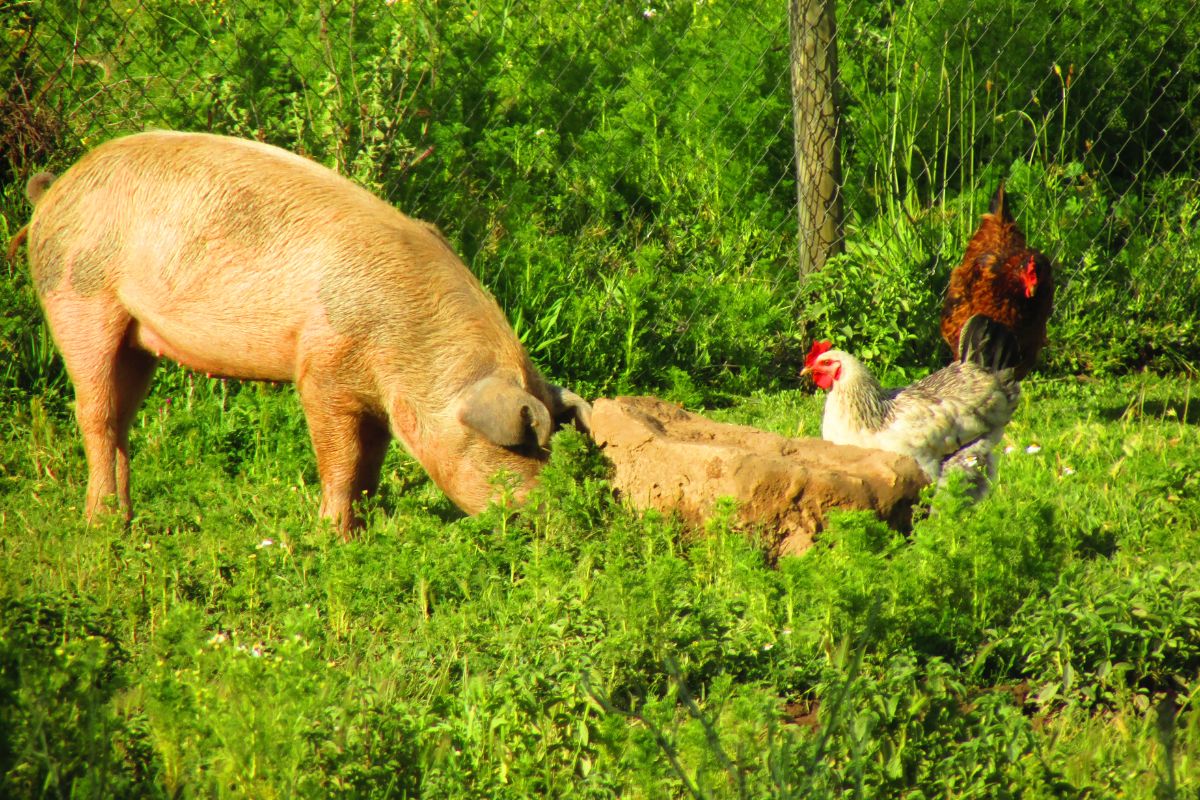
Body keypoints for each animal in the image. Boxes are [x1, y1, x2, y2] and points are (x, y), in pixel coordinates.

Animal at [9, 131, 590, 534]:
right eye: (525, 447)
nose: (556, 519)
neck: (412, 350)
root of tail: (55, 188)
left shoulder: (377, 399)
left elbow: (371, 464)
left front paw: (364, 531)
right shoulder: (324, 370)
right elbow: (342, 459)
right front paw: (333, 537)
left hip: (139, 338)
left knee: (123, 416)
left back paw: (127, 519)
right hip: (77, 296)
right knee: (95, 413)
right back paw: (103, 523)